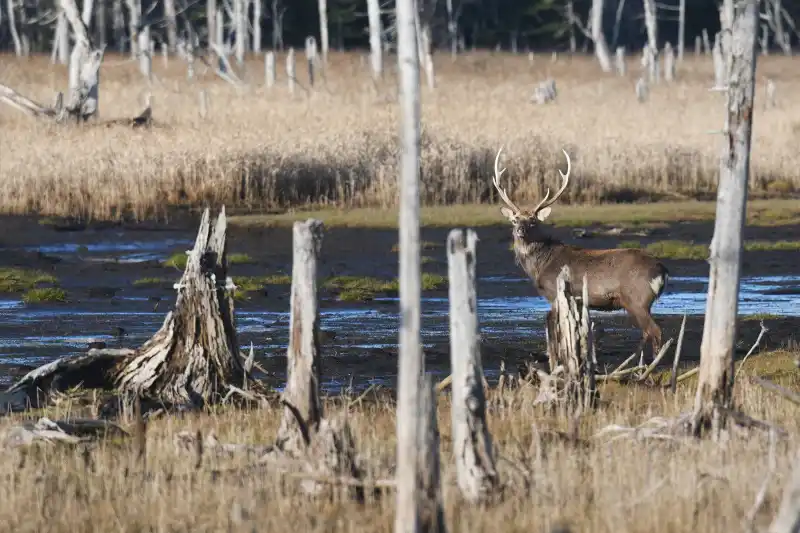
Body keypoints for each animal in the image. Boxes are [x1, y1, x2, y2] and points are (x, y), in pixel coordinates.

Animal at [491, 146, 669, 360]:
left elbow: (554, 331)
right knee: (648, 332)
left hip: (637, 298)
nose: (520, 230)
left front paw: (555, 358)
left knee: (655, 331)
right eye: (515, 220)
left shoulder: (555, 293)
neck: (541, 265)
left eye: (533, 221)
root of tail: (662, 270)